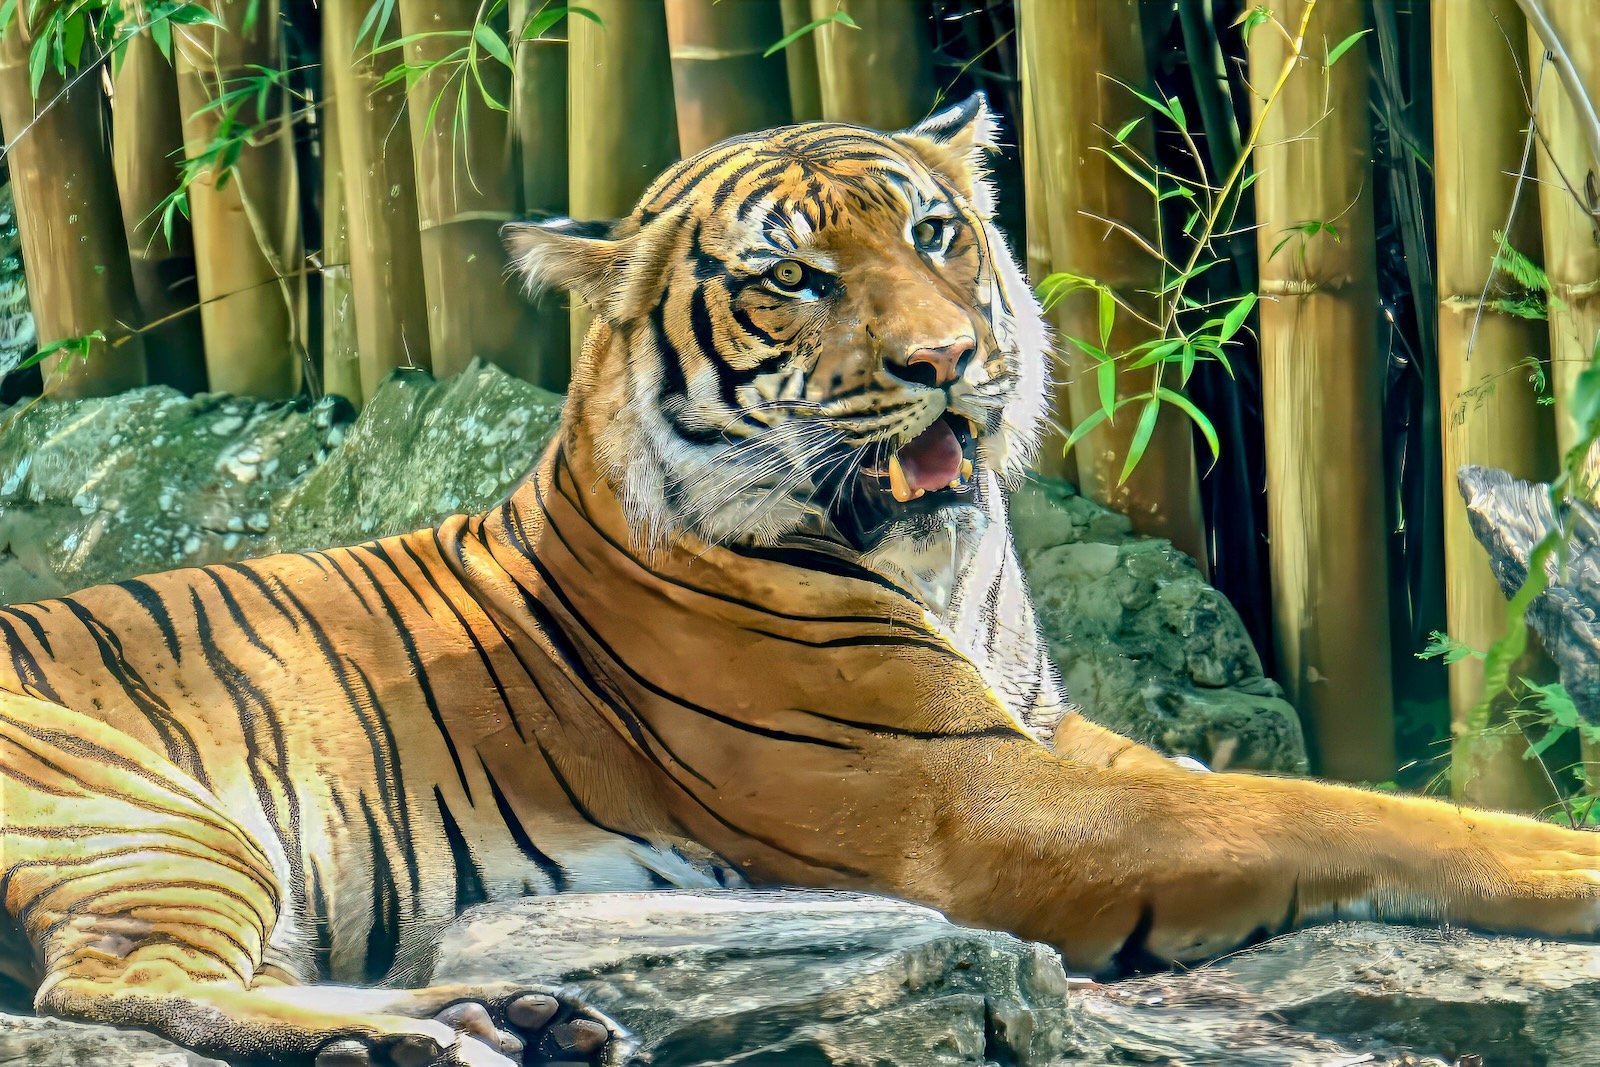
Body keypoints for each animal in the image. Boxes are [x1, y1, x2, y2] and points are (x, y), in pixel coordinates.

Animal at [1, 94, 1597, 1067]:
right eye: (795, 280)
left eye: (935, 233)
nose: (947, 361)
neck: (943, 561)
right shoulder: (972, 801)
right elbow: (1330, 807)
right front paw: (1569, 864)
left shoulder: (1051, 738)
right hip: (148, 813)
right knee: (110, 984)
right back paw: (409, 1032)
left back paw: (520, 1012)